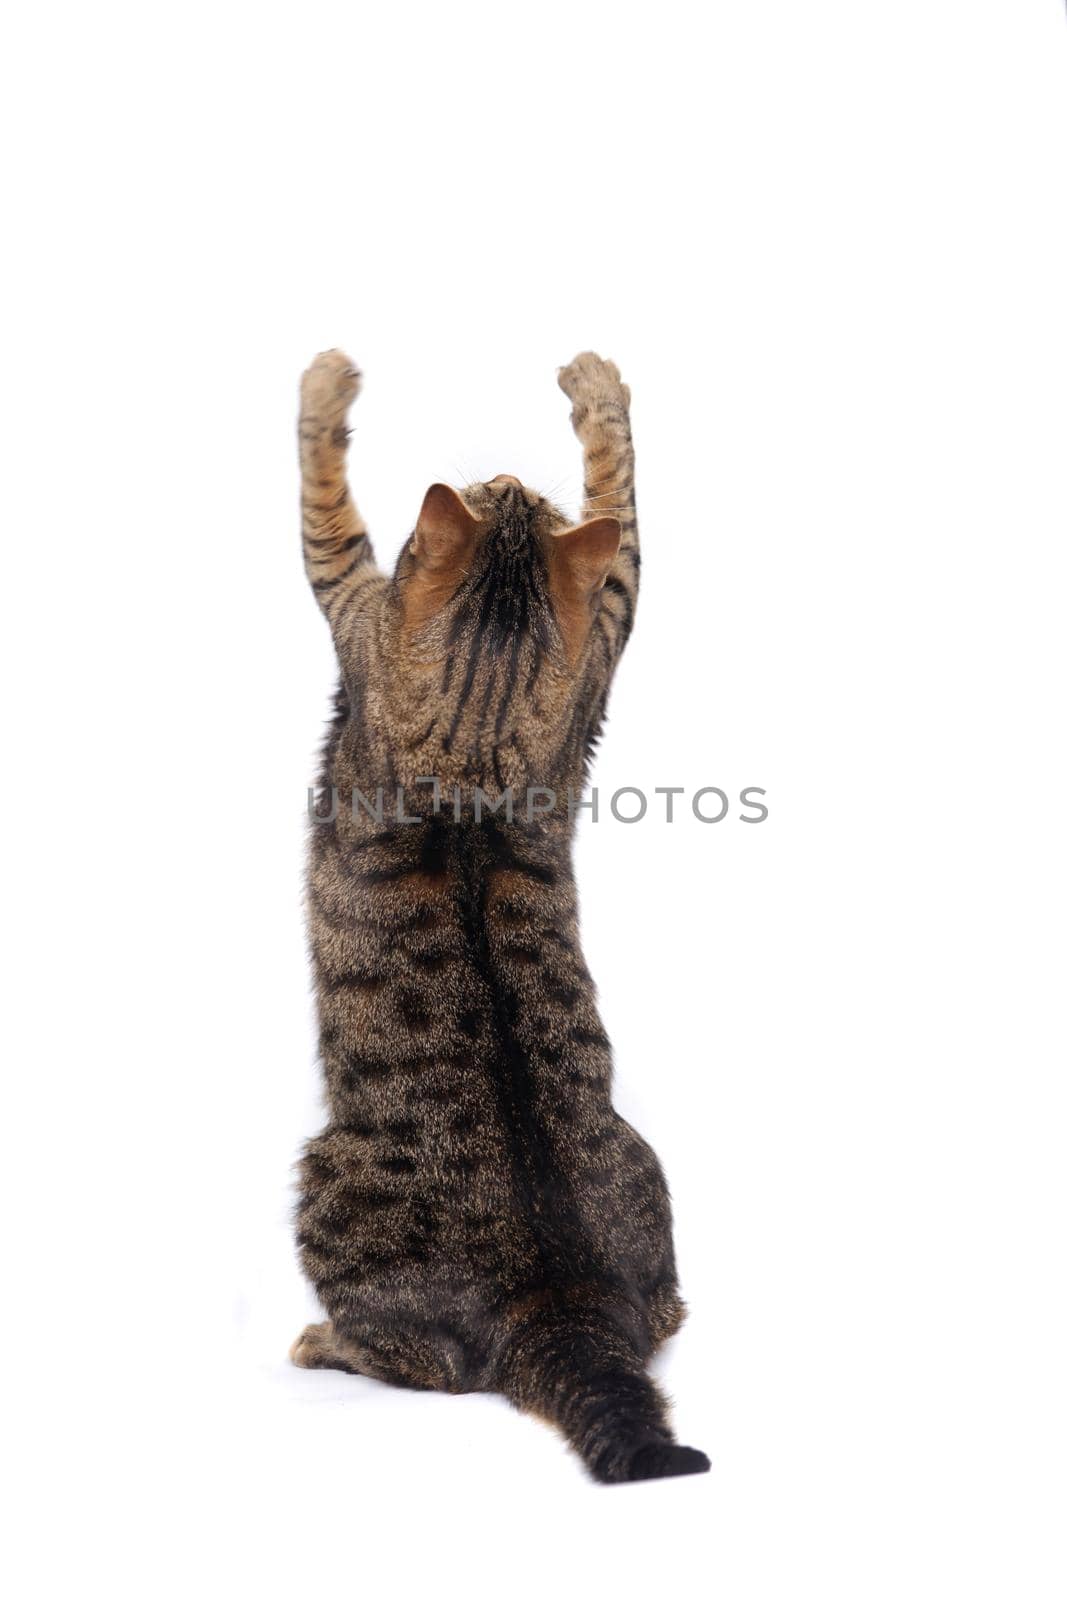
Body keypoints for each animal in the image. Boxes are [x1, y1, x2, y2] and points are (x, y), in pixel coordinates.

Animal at [292, 350, 710, 1484]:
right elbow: (625, 509)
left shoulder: (353, 599)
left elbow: (319, 494)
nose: (506, 475)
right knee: (662, 1316)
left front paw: (328, 385)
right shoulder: (604, 626)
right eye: (503, 493)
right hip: (646, 1173)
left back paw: (318, 1339)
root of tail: (557, 1302)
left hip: (320, 1180)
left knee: (414, 1362)